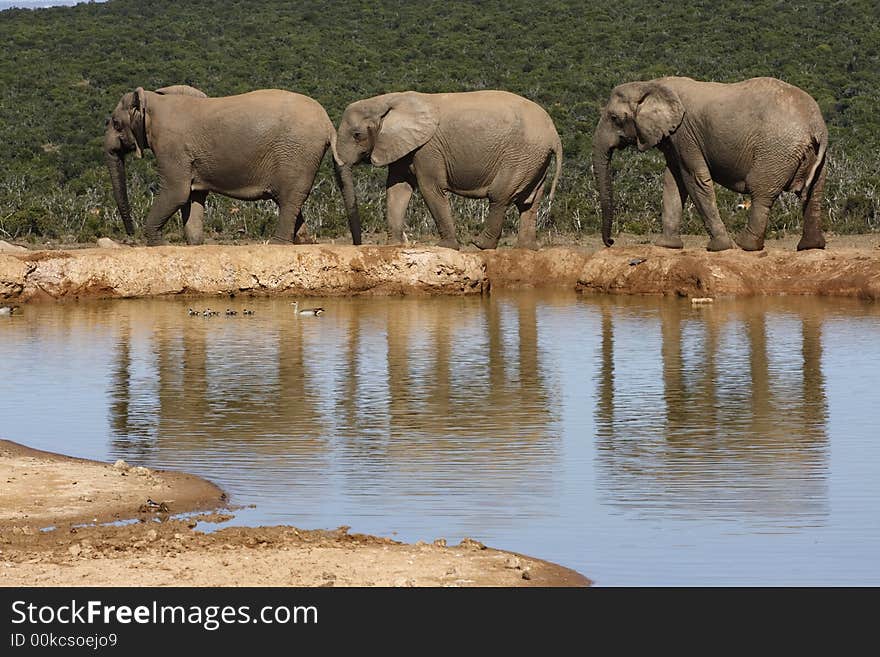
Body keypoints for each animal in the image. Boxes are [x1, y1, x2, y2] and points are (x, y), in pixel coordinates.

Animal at [104, 84, 360, 243]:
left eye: (116, 123)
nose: (130, 234)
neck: (153, 100)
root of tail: (328, 124)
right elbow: (192, 199)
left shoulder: (172, 147)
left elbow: (176, 193)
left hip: (297, 153)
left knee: (289, 200)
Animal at [334, 89, 560, 249]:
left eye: (357, 135)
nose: (358, 244)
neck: (388, 100)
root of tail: (554, 135)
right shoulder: (402, 146)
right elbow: (397, 188)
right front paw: (394, 246)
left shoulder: (427, 148)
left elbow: (430, 188)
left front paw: (445, 247)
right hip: (535, 160)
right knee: (529, 203)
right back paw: (526, 249)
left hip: (520, 156)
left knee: (499, 196)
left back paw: (480, 245)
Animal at [596, 76, 828, 251]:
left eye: (614, 118)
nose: (611, 242)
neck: (650, 84)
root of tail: (816, 125)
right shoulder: (672, 138)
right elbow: (673, 181)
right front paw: (666, 245)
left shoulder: (684, 133)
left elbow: (694, 178)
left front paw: (719, 247)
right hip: (812, 156)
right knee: (814, 193)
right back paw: (810, 247)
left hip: (776, 149)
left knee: (761, 192)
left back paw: (745, 245)